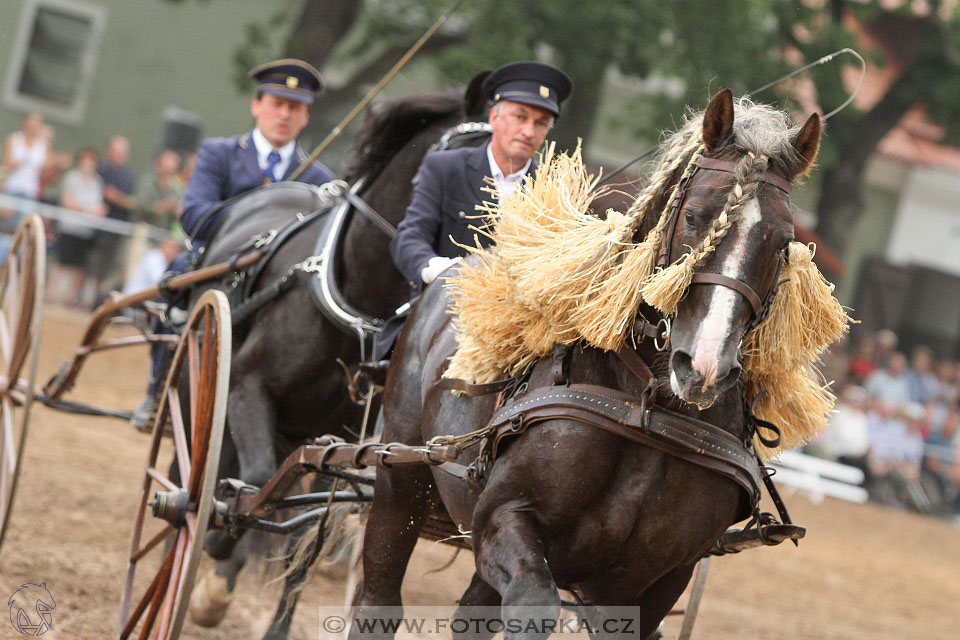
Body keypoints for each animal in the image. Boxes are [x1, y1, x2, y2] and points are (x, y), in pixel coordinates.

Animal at [184, 79, 492, 636]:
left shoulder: (349, 437)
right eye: (467, 170)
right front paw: (217, 550)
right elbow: (258, 479)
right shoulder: (245, 385)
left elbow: (309, 530)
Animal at [348, 87, 820, 636]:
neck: (649, 412)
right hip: (400, 479)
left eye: (783, 241)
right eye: (695, 216)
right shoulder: (503, 519)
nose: (705, 367)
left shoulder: (657, 584)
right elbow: (533, 604)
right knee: (379, 597)